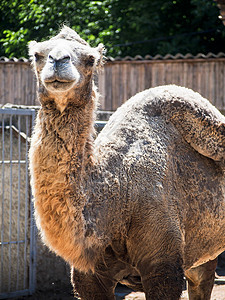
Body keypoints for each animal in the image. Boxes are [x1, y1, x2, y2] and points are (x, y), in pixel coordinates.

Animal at [29, 26, 225, 300]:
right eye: (37, 54)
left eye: (91, 59)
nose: (58, 61)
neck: (116, 194)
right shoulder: (88, 277)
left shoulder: (163, 265)